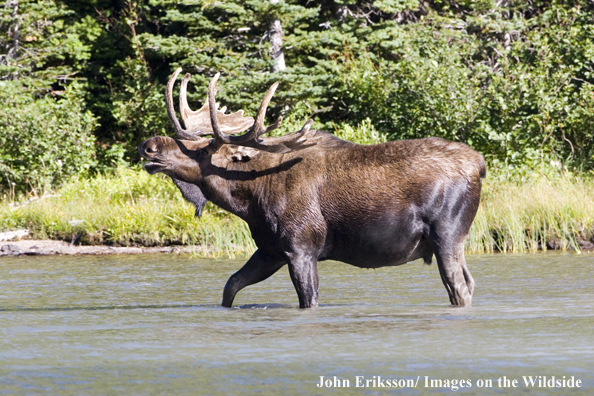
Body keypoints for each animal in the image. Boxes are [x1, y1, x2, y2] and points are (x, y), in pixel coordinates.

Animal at [140, 68, 486, 310]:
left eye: (200, 150)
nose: (149, 145)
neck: (249, 200)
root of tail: (480, 165)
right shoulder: (270, 250)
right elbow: (231, 286)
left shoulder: (302, 246)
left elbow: (309, 300)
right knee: (468, 284)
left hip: (447, 234)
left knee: (459, 288)